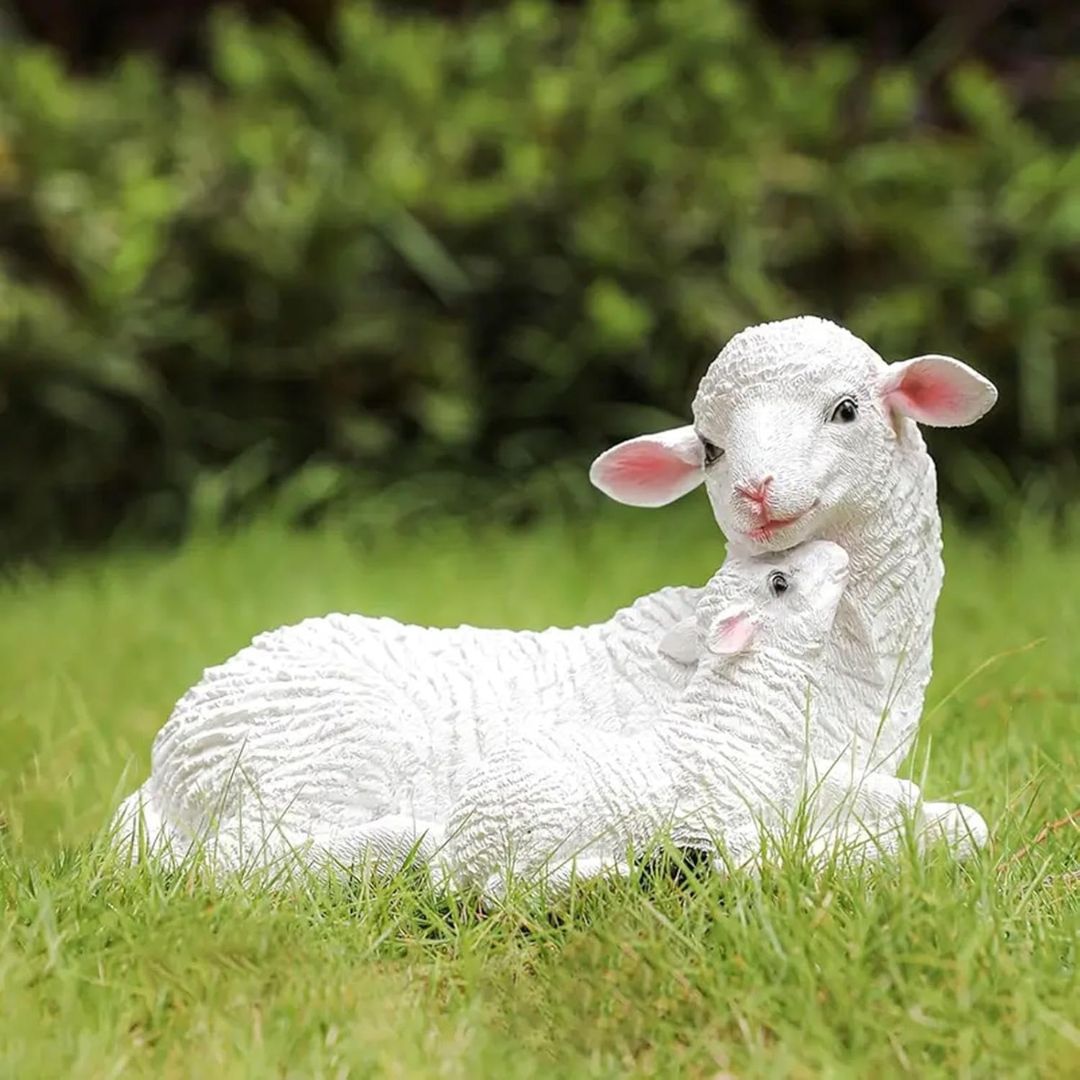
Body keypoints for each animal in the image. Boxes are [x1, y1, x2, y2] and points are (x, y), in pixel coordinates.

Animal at [443, 540, 988, 898]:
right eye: (780, 583)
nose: (834, 548)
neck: (735, 724)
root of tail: (461, 847)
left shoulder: (792, 791)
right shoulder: (718, 822)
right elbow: (763, 847)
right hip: (543, 821)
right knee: (505, 888)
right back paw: (603, 873)